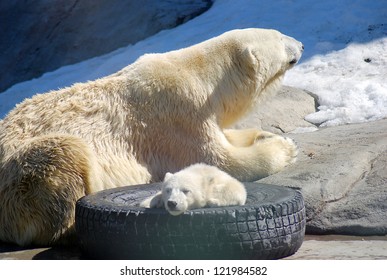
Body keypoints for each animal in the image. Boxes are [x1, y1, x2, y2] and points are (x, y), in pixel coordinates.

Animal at [0, 28, 304, 246]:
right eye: (280, 37)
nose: (301, 44)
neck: (201, 77)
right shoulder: (178, 116)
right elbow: (220, 161)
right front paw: (285, 147)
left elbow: (227, 138)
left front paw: (263, 134)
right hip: (21, 177)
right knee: (64, 154)